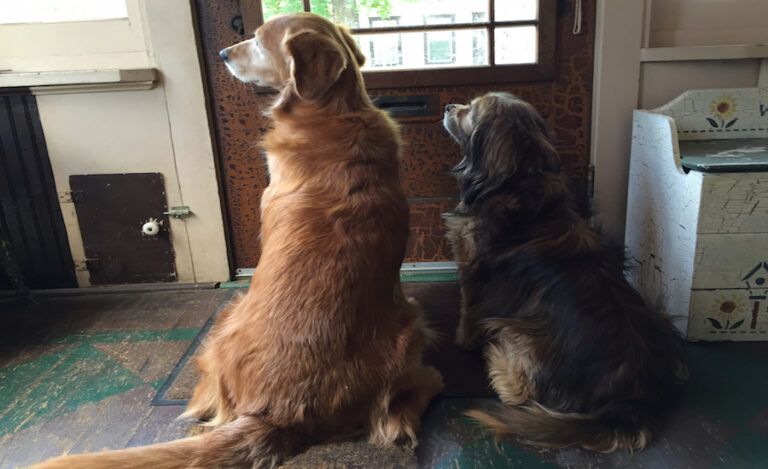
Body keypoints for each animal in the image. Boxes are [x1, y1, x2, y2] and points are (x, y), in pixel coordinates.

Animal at [440, 92, 688, 454]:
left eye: (471, 111)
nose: (447, 107)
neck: (519, 181)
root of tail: (633, 398)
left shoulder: (471, 271)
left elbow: (468, 313)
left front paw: (464, 341)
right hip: (662, 321)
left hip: (518, 333)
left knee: (518, 391)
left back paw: (496, 360)